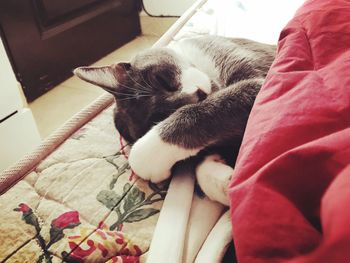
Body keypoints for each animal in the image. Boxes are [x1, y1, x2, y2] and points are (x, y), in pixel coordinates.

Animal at [74, 35, 276, 205]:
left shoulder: (257, 83)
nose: (200, 95)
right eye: (162, 117)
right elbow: (201, 160)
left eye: (161, 79)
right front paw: (225, 182)